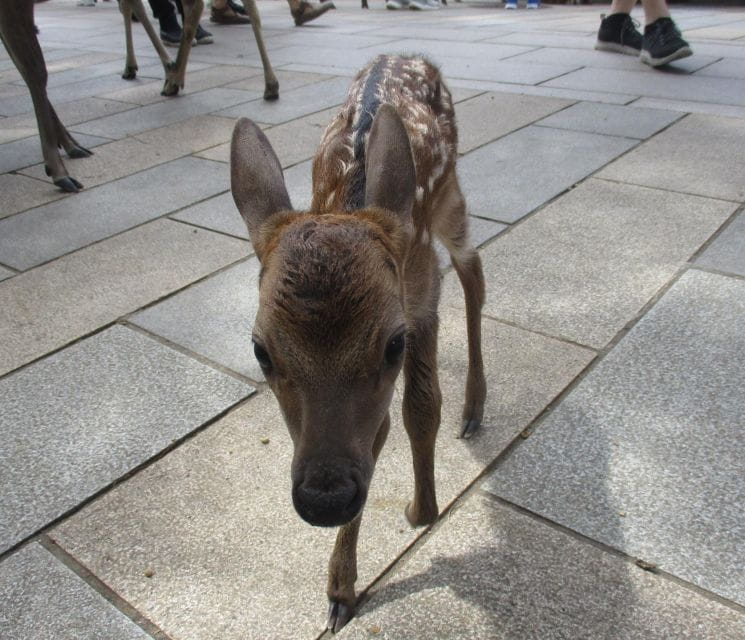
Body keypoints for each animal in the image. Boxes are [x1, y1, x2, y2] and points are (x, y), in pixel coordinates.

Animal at [230, 54, 486, 632]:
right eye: (261, 351)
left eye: (393, 345)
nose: (326, 499)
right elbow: (379, 430)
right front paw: (340, 590)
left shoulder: (420, 291)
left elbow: (420, 406)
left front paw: (421, 510)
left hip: (452, 198)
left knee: (473, 268)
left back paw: (474, 408)